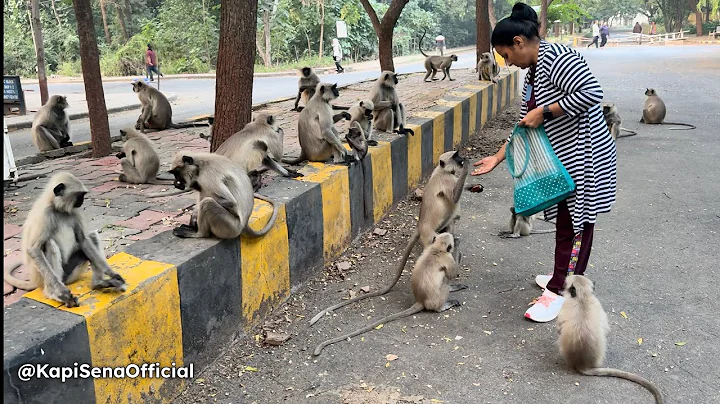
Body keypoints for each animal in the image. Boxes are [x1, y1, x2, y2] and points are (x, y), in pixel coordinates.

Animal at [3, 172, 127, 307]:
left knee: (92, 237)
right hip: (45, 276)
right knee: (49, 243)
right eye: (80, 196)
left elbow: (83, 240)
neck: (58, 209)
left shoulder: (74, 211)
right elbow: (34, 249)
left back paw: (98, 283)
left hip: (70, 273)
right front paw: (61, 292)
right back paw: (53, 292)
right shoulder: (45, 213)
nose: (82, 201)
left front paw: (112, 274)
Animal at [309, 151, 468, 326]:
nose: (462, 159)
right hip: (431, 236)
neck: (442, 171)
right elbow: (454, 197)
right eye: (456, 156)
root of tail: (420, 227)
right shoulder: (447, 180)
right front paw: (468, 167)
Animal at [313, 233, 466, 356]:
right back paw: (444, 305)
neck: (436, 249)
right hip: (437, 298)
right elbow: (453, 273)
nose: (456, 240)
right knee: (445, 284)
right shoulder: (447, 258)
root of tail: (421, 300)